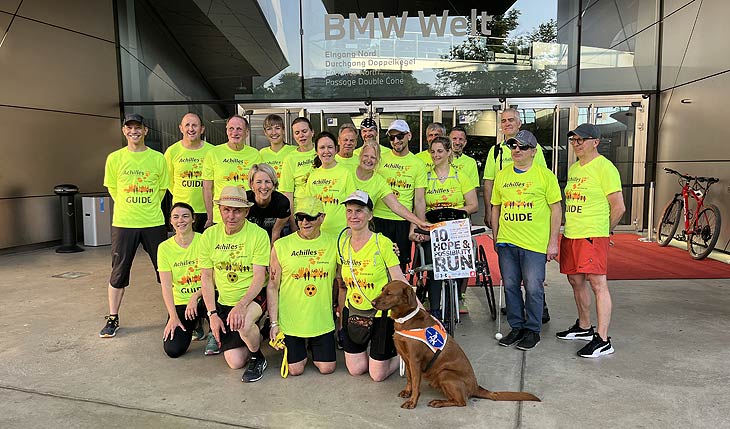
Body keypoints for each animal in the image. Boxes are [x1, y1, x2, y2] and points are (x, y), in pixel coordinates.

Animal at [372, 280, 536, 406]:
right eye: (382, 290)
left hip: (445, 373)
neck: (405, 319)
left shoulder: (414, 360)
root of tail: (476, 387)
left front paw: (412, 402)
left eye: (389, 293)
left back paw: (438, 402)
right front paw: (407, 392)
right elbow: (409, 379)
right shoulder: (406, 358)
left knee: (461, 402)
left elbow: (416, 382)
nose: (372, 302)